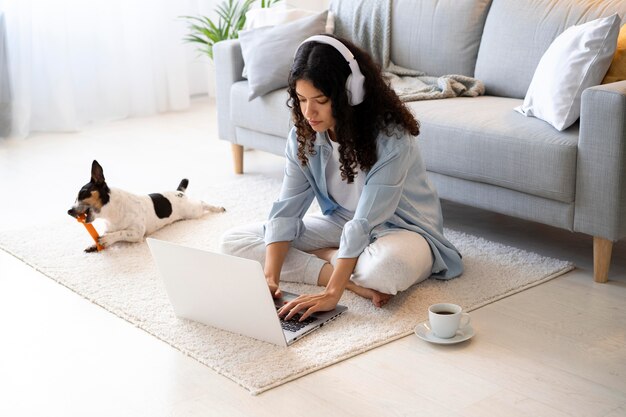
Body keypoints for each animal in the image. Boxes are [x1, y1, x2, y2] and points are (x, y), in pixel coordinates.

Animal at [67, 159, 224, 250]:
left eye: (83, 194)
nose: (68, 211)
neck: (110, 213)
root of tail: (179, 192)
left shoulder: (136, 233)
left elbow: (121, 233)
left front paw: (108, 239)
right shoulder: (109, 227)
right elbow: (103, 235)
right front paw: (94, 244)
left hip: (192, 211)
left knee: (202, 203)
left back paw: (218, 208)